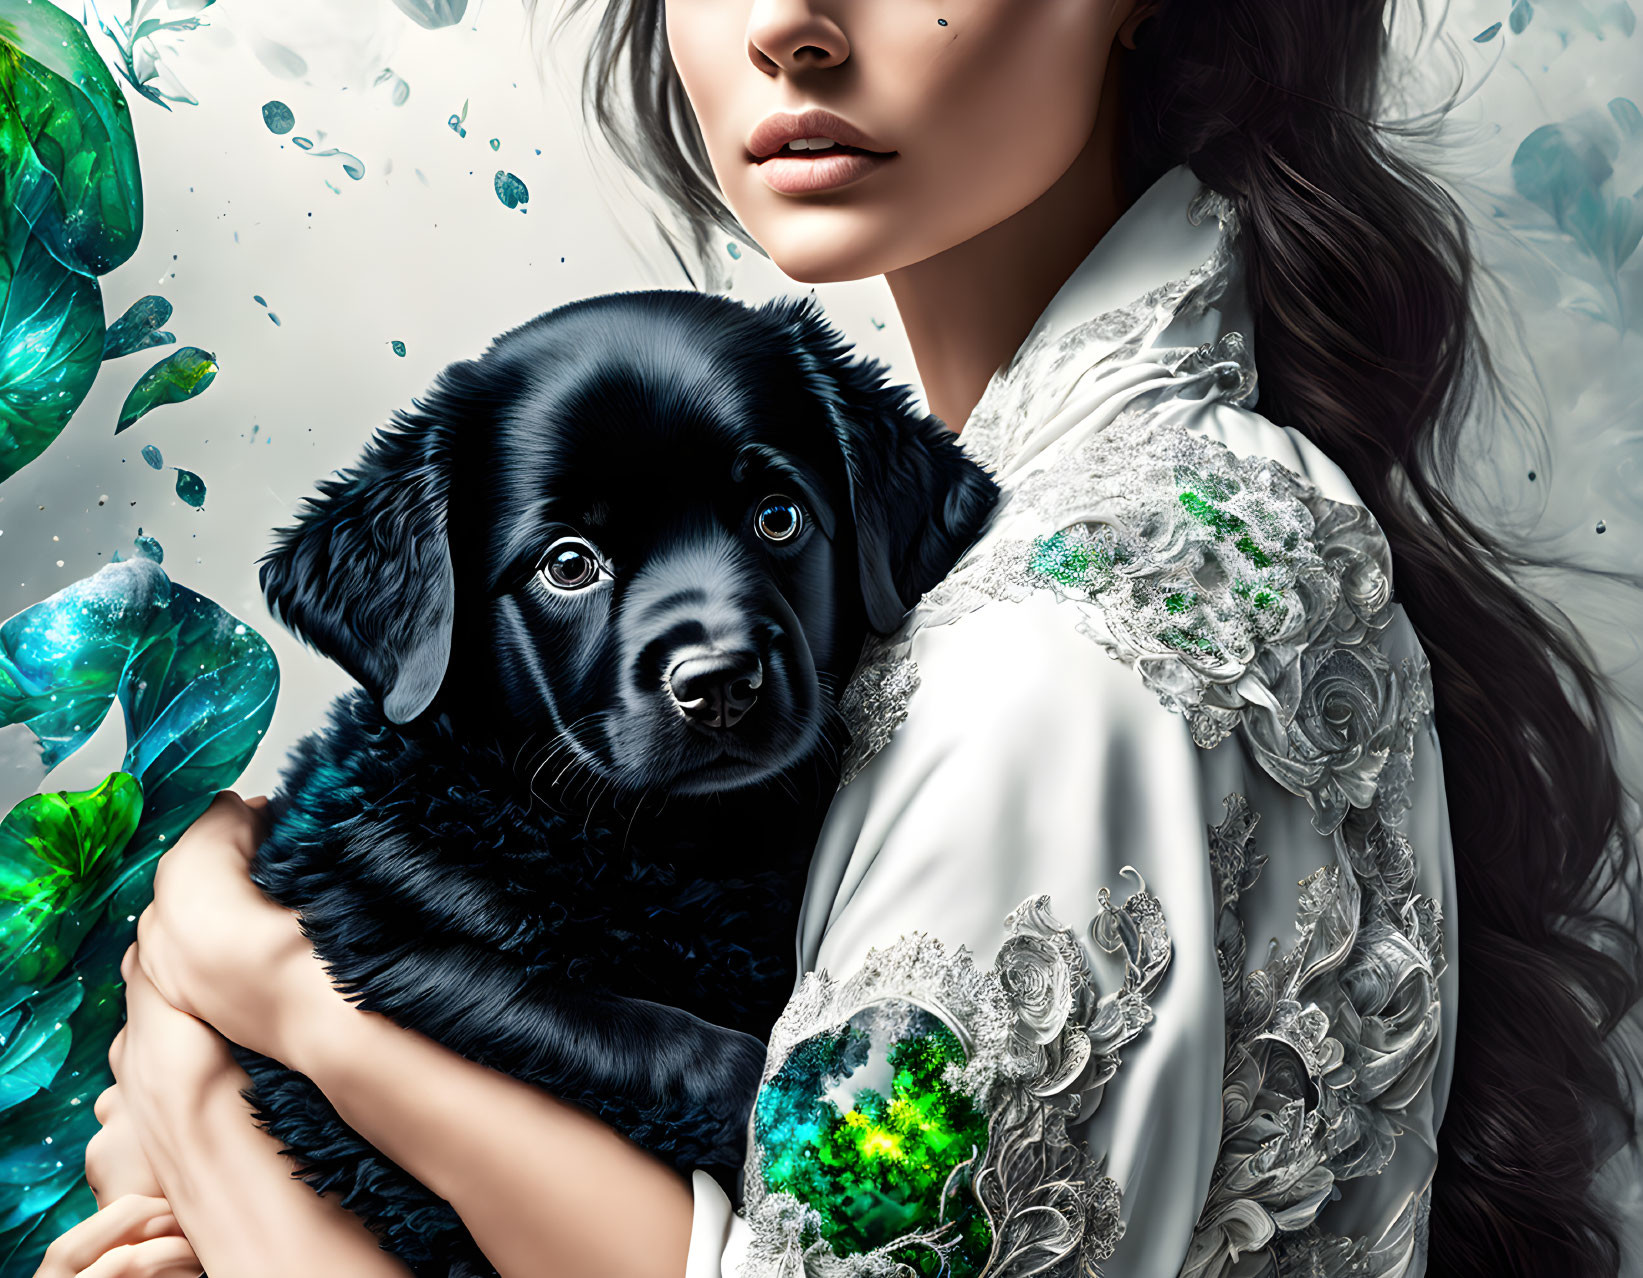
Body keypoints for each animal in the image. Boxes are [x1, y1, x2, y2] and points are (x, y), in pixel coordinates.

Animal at [236, 289, 992, 1274]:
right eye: (567, 563)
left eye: (778, 517)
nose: (720, 683)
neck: (670, 853)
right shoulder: (374, 919)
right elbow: (640, 1035)